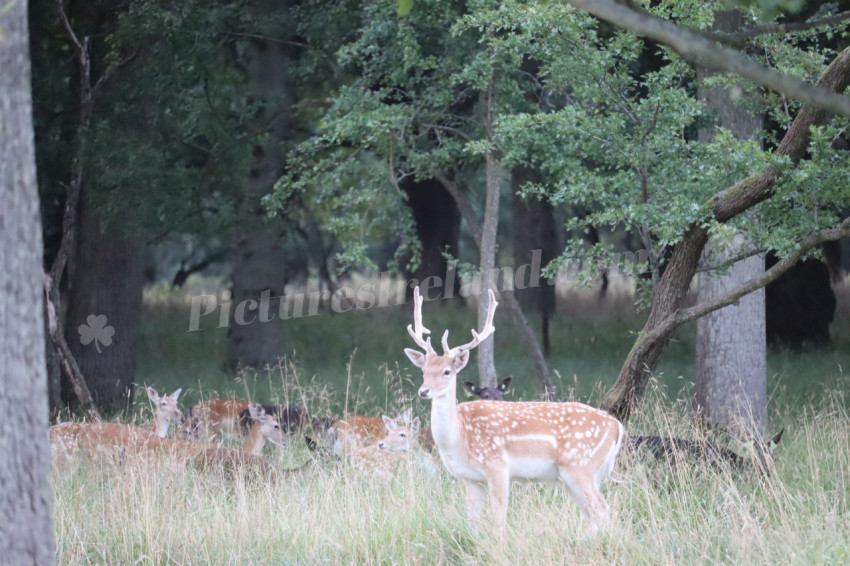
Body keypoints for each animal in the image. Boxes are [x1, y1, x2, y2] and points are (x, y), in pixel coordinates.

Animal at [405, 286, 625, 532]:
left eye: (446, 371)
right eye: (424, 370)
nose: (424, 391)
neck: (459, 438)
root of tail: (617, 426)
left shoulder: (497, 466)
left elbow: (499, 519)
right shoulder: (470, 478)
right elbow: (472, 522)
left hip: (579, 466)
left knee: (602, 509)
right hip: (578, 475)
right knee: (594, 514)